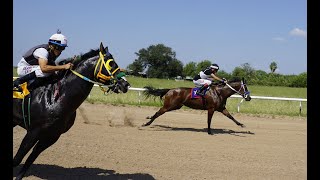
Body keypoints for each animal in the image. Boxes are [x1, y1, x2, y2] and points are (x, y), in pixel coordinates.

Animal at [12, 42, 130, 180]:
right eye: (111, 64)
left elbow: (30, 159)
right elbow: (17, 159)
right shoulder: (33, 131)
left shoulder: (52, 135)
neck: (57, 98)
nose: (125, 85)